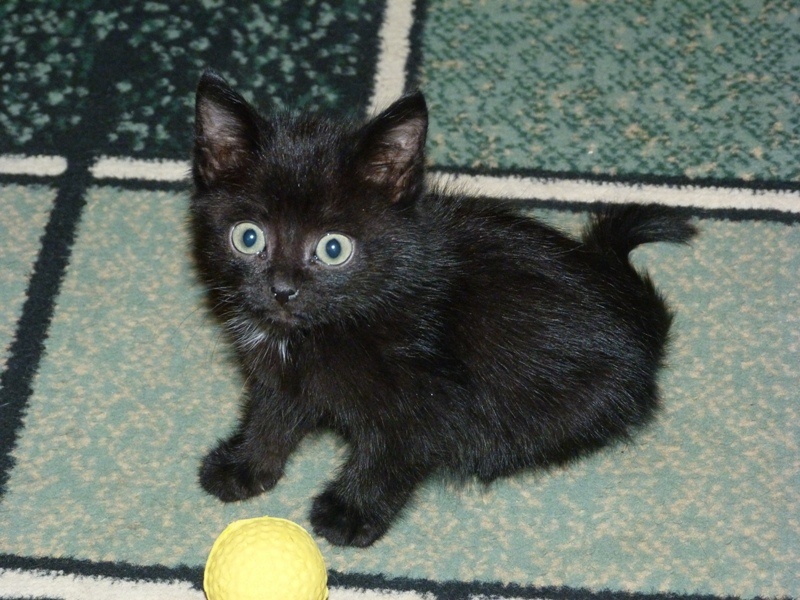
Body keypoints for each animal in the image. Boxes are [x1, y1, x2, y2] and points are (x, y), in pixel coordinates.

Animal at [190, 68, 696, 547]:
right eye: (248, 237)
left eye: (334, 248)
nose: (282, 290)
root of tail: (638, 314)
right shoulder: (282, 374)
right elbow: (270, 415)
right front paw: (245, 465)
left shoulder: (429, 393)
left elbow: (391, 451)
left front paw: (353, 511)